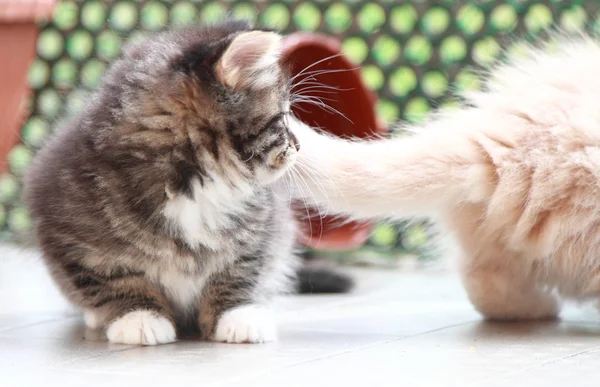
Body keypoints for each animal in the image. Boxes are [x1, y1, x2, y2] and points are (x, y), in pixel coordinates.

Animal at [25, 22, 302, 346]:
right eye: (283, 117)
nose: (298, 146)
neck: (195, 186)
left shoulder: (262, 229)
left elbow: (239, 272)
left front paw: (237, 314)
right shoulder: (71, 234)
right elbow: (114, 280)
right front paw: (138, 316)